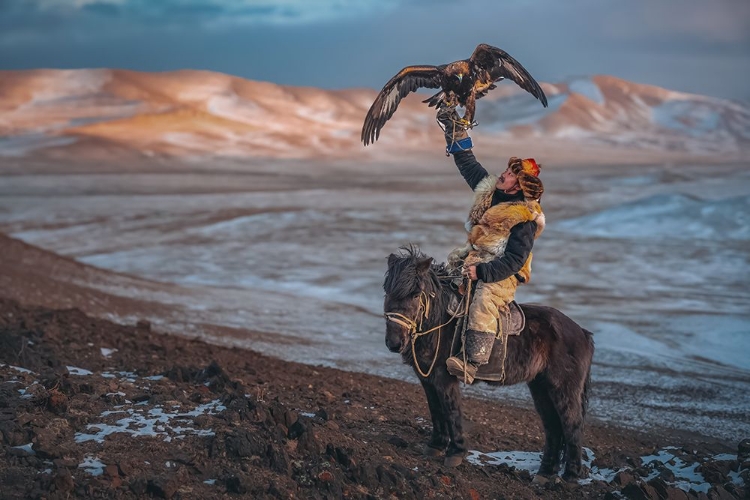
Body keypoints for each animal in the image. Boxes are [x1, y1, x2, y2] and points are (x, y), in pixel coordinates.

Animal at [384, 247, 596, 480]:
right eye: (387, 291)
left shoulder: (444, 378)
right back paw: (544, 474)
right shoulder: (427, 379)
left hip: (563, 390)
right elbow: (435, 410)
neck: (438, 322)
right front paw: (435, 446)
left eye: (415, 294)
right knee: (553, 428)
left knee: (571, 425)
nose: (394, 342)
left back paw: (571, 476)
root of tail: (582, 333)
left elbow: (451, 410)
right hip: (541, 388)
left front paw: (455, 453)